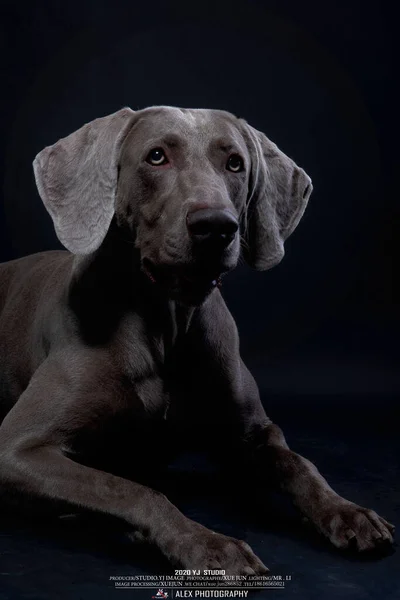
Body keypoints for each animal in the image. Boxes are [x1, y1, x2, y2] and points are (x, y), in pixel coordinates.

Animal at [0, 106, 396, 572]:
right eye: (156, 156)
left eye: (235, 163)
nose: (216, 226)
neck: (166, 322)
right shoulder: (18, 450)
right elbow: (129, 488)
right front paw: (208, 544)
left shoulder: (253, 432)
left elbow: (299, 463)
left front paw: (347, 511)